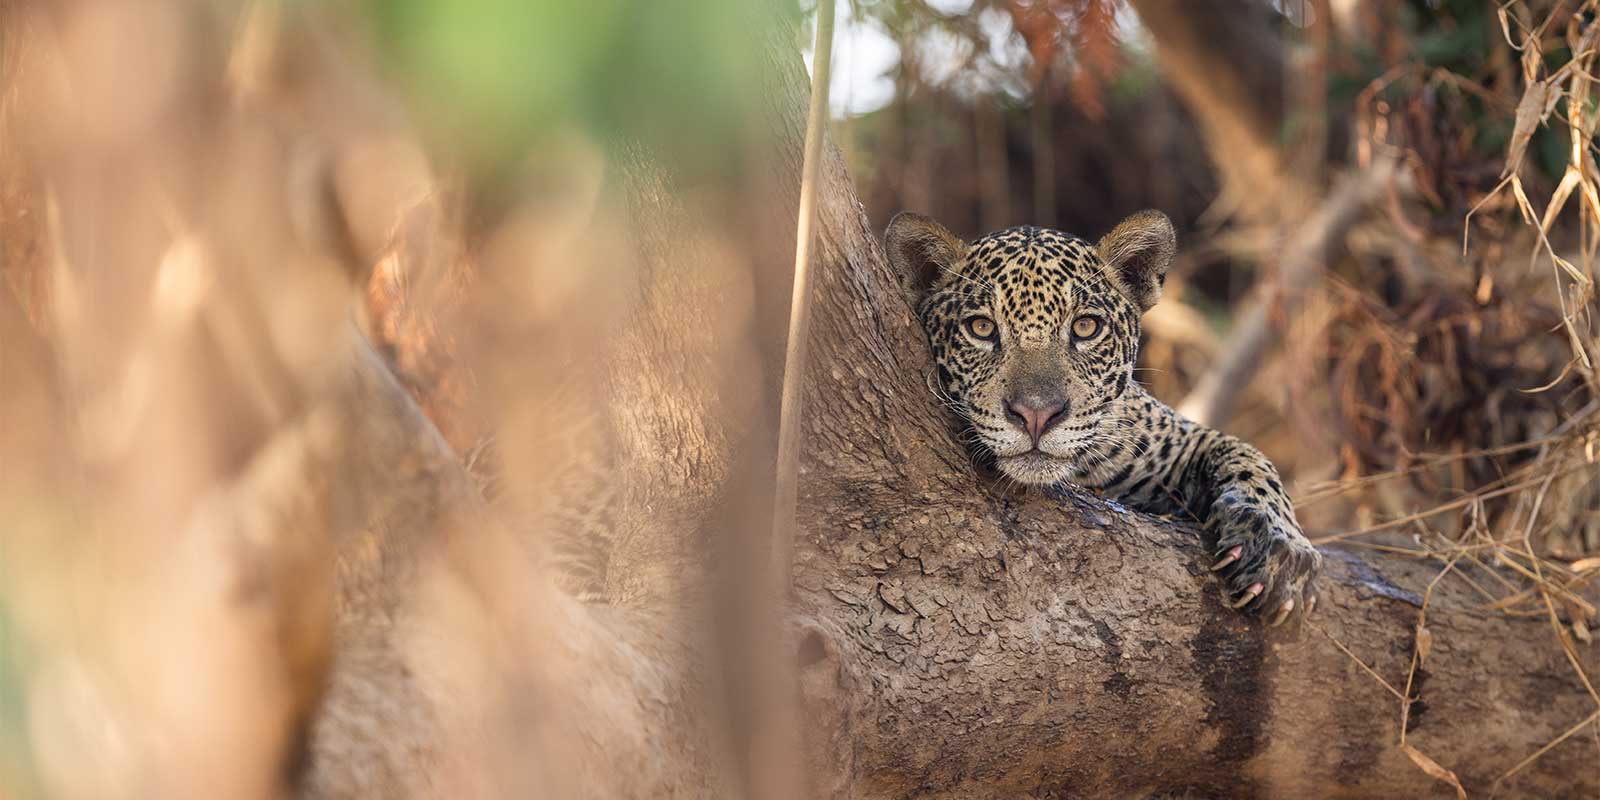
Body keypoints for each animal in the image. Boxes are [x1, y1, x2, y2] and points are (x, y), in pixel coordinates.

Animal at [885, 209, 1321, 624]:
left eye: (1085, 327)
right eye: (980, 327)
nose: (1036, 414)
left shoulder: (1168, 437)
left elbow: (1248, 454)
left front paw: (1281, 552)